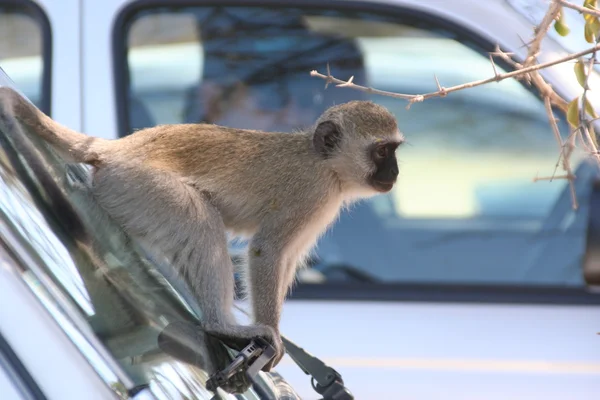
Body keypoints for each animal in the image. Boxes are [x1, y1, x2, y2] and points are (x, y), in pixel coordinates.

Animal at [0, 87, 406, 372]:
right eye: (382, 152)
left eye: (394, 150)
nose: (396, 172)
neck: (325, 164)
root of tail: (118, 148)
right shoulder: (310, 194)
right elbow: (267, 251)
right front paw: (271, 332)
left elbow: (287, 257)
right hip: (136, 184)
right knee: (200, 223)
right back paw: (219, 326)